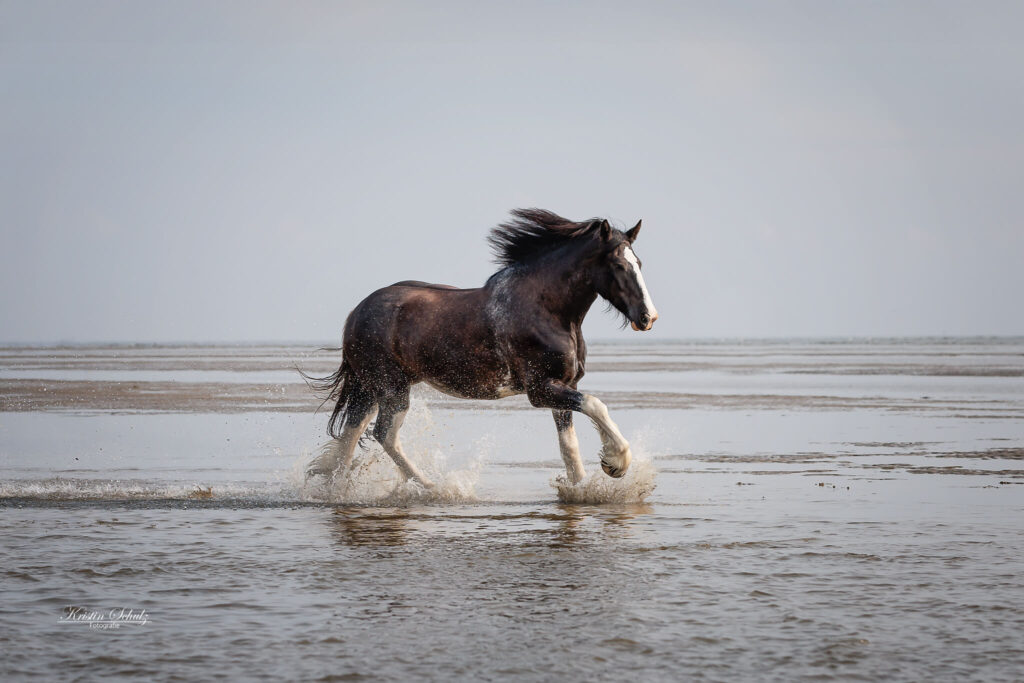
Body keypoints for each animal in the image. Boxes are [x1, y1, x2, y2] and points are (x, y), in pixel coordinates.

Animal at [305, 208, 658, 488]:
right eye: (618, 266)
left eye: (639, 263)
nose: (648, 317)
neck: (546, 310)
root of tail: (357, 312)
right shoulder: (541, 389)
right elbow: (597, 405)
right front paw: (615, 463)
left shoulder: (564, 386)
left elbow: (569, 447)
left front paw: (581, 486)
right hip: (391, 388)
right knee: (384, 434)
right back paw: (431, 487)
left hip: (371, 388)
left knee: (352, 432)